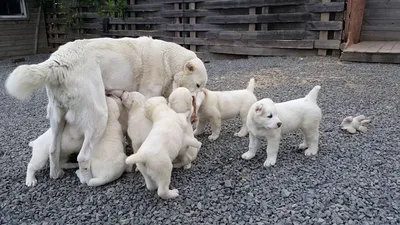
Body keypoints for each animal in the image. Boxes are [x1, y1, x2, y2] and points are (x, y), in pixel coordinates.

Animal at [4, 37, 208, 181]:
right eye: (198, 85)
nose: (201, 97)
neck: (167, 60)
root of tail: (57, 62)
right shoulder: (148, 95)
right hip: (99, 117)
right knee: (83, 157)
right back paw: (86, 179)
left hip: (57, 118)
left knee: (53, 149)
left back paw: (56, 173)